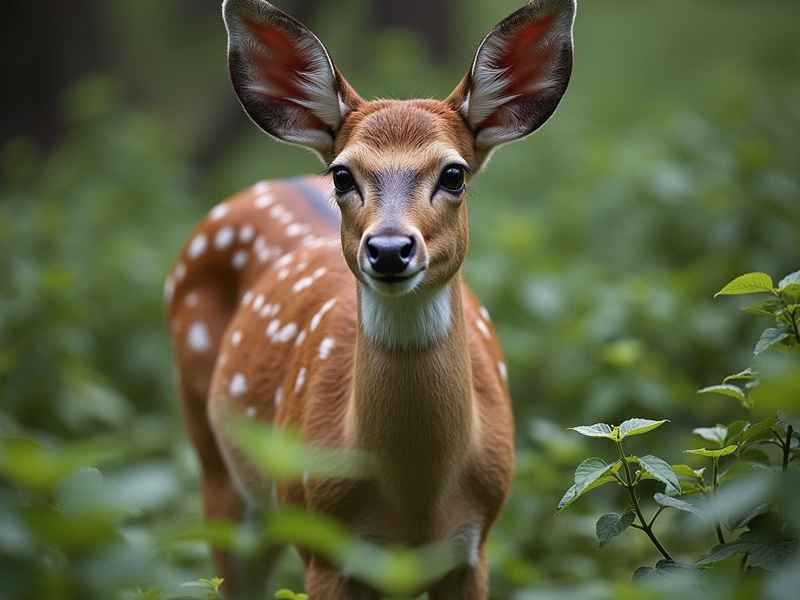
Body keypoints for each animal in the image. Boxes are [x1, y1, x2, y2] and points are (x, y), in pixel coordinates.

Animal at [166, 0, 575, 597]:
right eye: (342, 175)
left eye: (454, 173)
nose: (388, 248)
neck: (415, 503)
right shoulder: (321, 543)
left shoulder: (475, 546)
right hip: (216, 461)